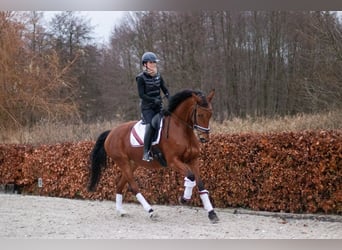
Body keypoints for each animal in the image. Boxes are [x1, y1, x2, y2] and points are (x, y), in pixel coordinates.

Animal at [87, 89, 219, 224]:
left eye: (210, 114)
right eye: (200, 115)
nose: (204, 138)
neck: (182, 129)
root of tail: (111, 132)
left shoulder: (193, 160)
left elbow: (200, 184)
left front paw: (212, 213)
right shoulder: (173, 161)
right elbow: (191, 177)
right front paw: (183, 198)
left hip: (132, 164)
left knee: (120, 185)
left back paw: (121, 211)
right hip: (122, 161)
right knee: (133, 186)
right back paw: (151, 212)